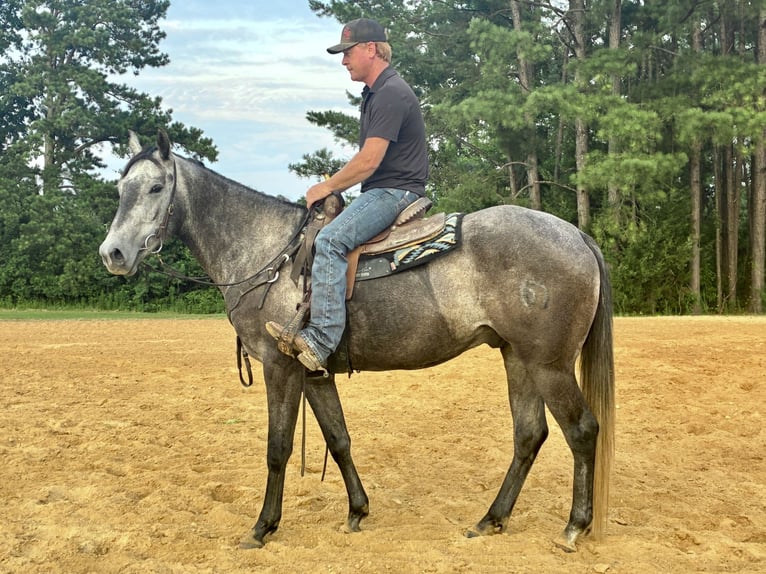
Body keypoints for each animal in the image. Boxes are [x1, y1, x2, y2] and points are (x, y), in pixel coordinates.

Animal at [99, 129, 615, 552]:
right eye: (120, 190)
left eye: (156, 187)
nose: (113, 254)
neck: (269, 254)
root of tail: (576, 235)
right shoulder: (312, 371)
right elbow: (339, 438)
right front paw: (357, 510)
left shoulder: (279, 367)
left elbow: (277, 448)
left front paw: (263, 527)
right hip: (517, 357)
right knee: (529, 435)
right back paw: (491, 519)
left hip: (549, 364)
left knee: (582, 430)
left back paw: (574, 527)